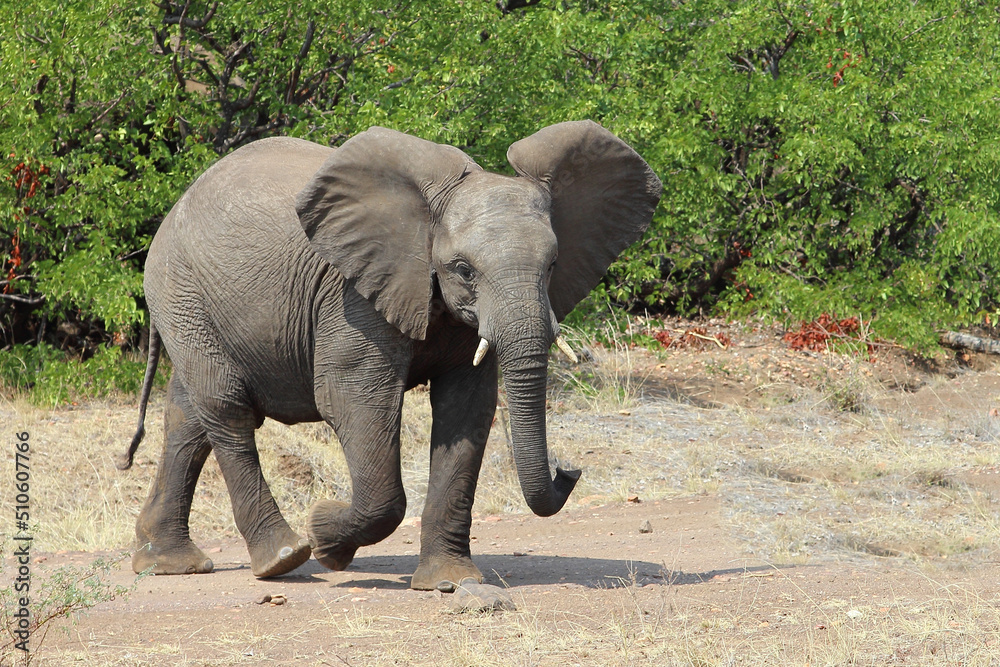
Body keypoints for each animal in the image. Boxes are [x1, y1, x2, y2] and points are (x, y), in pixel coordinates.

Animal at [120, 120, 661, 591]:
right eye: (463, 269)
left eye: (552, 266)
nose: (568, 470)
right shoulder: (353, 298)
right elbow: (355, 402)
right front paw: (326, 537)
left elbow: (466, 409)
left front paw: (449, 582)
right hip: (181, 289)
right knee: (227, 408)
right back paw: (283, 559)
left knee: (189, 416)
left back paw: (167, 563)